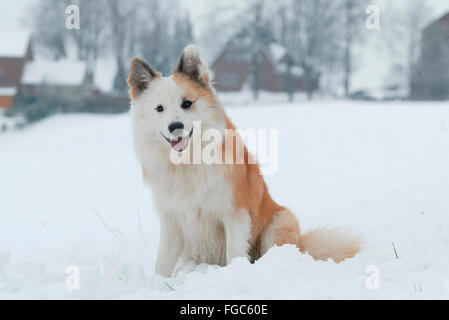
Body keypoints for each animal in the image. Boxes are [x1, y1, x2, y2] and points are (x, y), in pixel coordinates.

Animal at [127, 45, 360, 278]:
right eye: (159, 108)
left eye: (187, 104)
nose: (175, 126)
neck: (188, 162)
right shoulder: (172, 220)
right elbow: (163, 263)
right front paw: (158, 282)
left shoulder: (235, 214)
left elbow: (234, 254)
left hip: (280, 220)